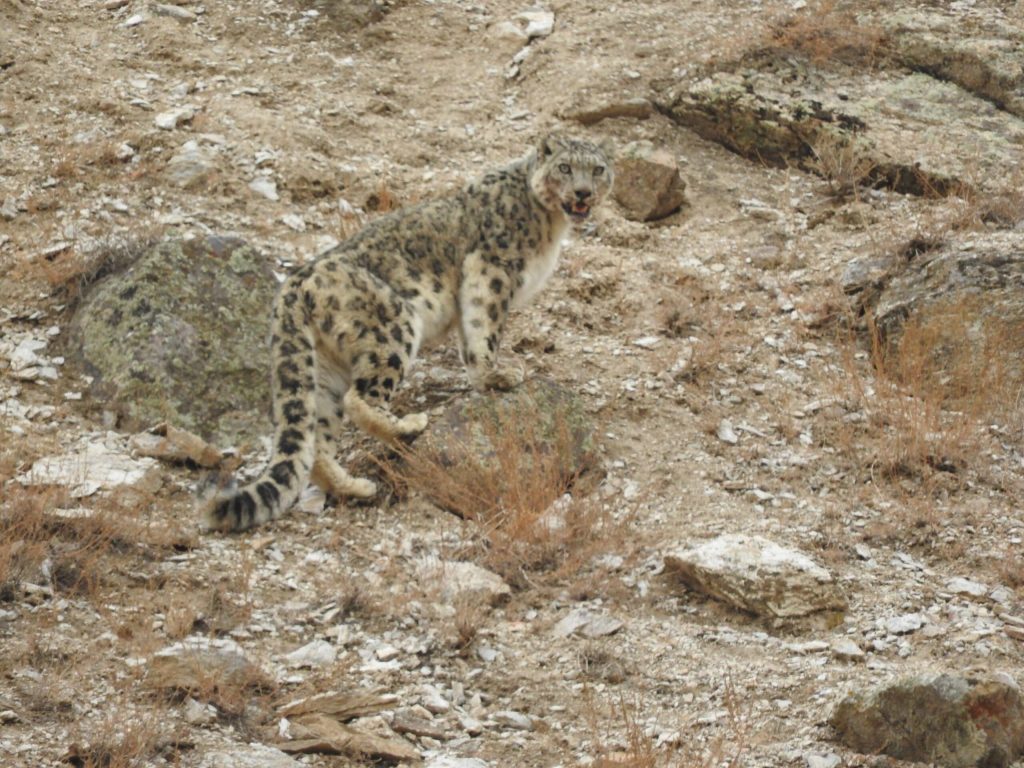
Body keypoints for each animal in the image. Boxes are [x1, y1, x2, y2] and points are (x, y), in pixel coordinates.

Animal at [199, 134, 614, 532]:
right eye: (565, 167)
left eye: (597, 169)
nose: (582, 193)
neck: (551, 224)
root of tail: (294, 285)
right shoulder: (492, 271)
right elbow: (484, 325)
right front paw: (497, 375)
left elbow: (469, 337)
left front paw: (482, 376)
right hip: (393, 325)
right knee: (360, 398)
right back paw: (407, 427)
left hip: (321, 370)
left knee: (317, 438)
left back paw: (355, 487)